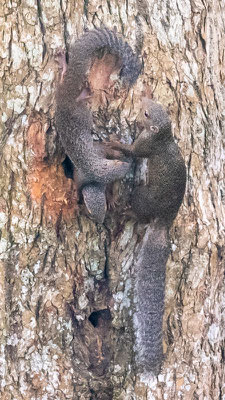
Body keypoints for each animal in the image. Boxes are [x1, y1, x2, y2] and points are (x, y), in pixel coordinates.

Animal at [55, 27, 141, 222]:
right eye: (91, 212)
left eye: (103, 211)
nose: (100, 222)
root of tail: (64, 100)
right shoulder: (83, 176)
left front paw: (111, 199)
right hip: (83, 115)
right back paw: (85, 92)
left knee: (63, 78)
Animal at [105, 98, 186, 374]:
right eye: (153, 105)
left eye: (148, 113)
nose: (142, 99)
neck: (163, 137)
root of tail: (165, 220)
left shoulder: (145, 147)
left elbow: (131, 153)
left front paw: (114, 143)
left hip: (143, 196)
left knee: (140, 212)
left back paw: (128, 211)